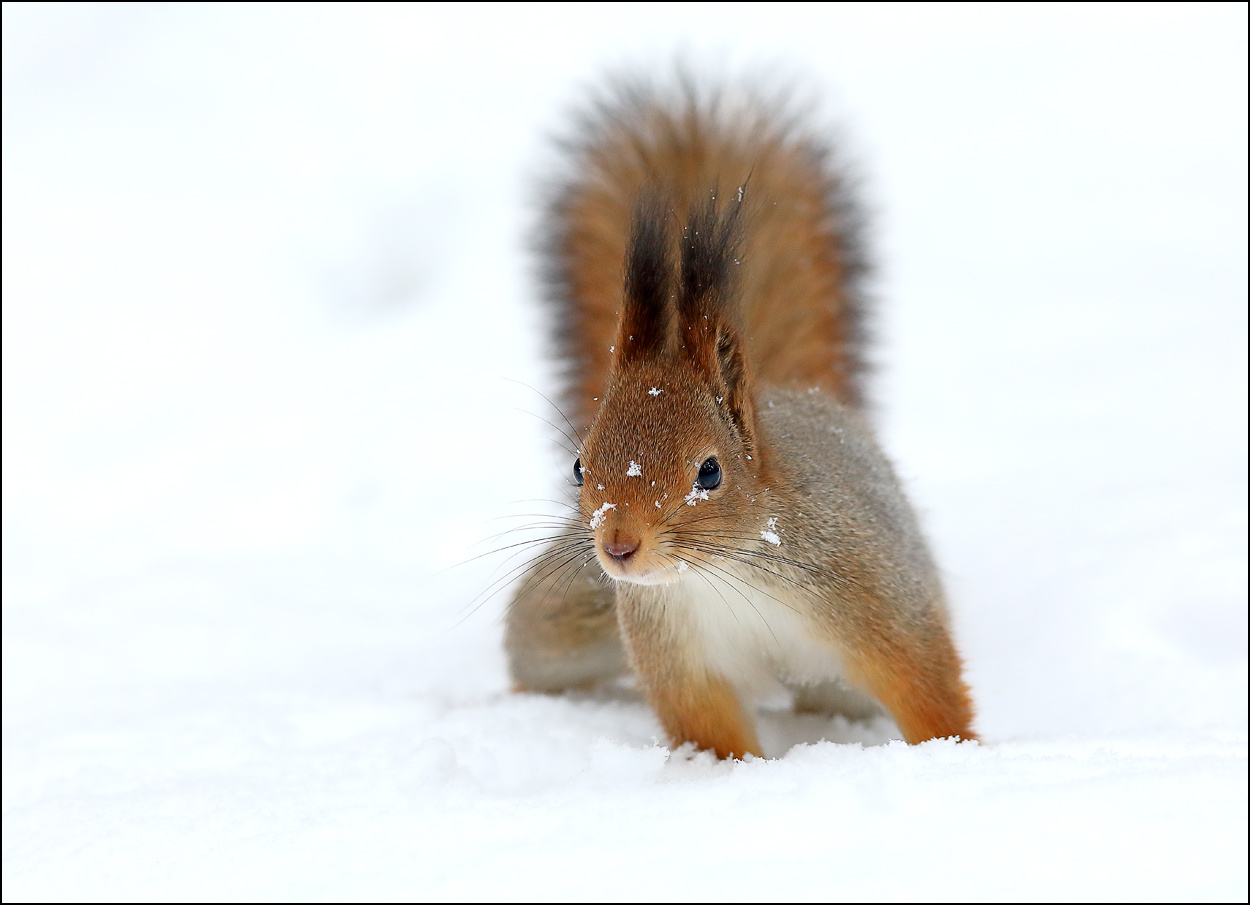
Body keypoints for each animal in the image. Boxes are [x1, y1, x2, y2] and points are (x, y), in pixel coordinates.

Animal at [504, 78, 976, 758]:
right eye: (578, 468)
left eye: (709, 472)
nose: (619, 547)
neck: (724, 572)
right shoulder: (676, 654)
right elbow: (712, 734)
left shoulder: (876, 596)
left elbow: (929, 688)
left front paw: (959, 757)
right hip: (558, 623)